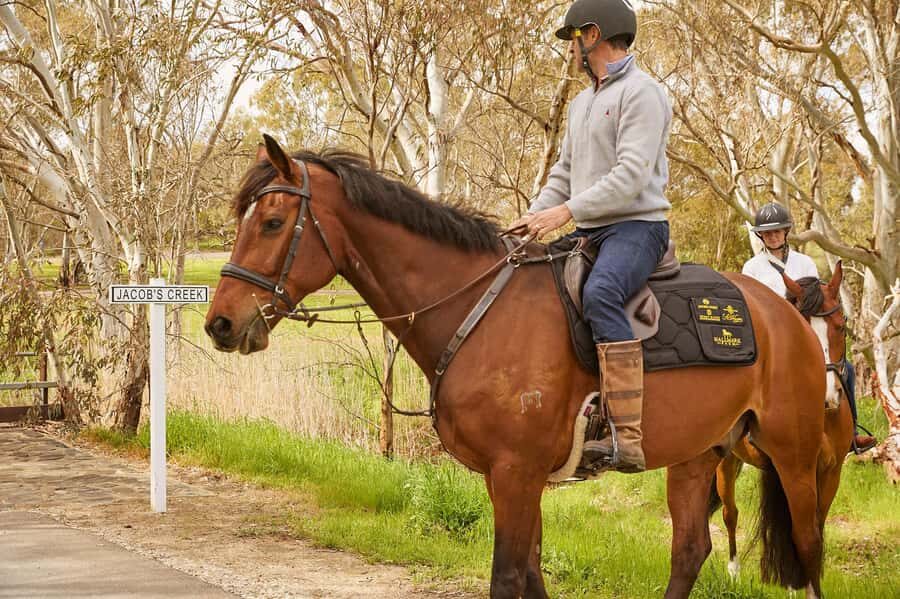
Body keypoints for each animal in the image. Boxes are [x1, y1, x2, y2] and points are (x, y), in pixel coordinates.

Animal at [205, 135, 830, 599]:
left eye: (272, 222)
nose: (221, 324)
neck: (478, 308)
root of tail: (787, 312)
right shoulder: (507, 479)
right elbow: (531, 575)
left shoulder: (515, 474)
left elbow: (507, 578)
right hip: (698, 455)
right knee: (690, 551)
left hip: (794, 457)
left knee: (809, 550)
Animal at [712, 264, 855, 585]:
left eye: (841, 326)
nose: (828, 396)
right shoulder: (790, 470)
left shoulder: (831, 472)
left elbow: (816, 526)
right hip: (726, 462)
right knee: (730, 512)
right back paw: (733, 570)